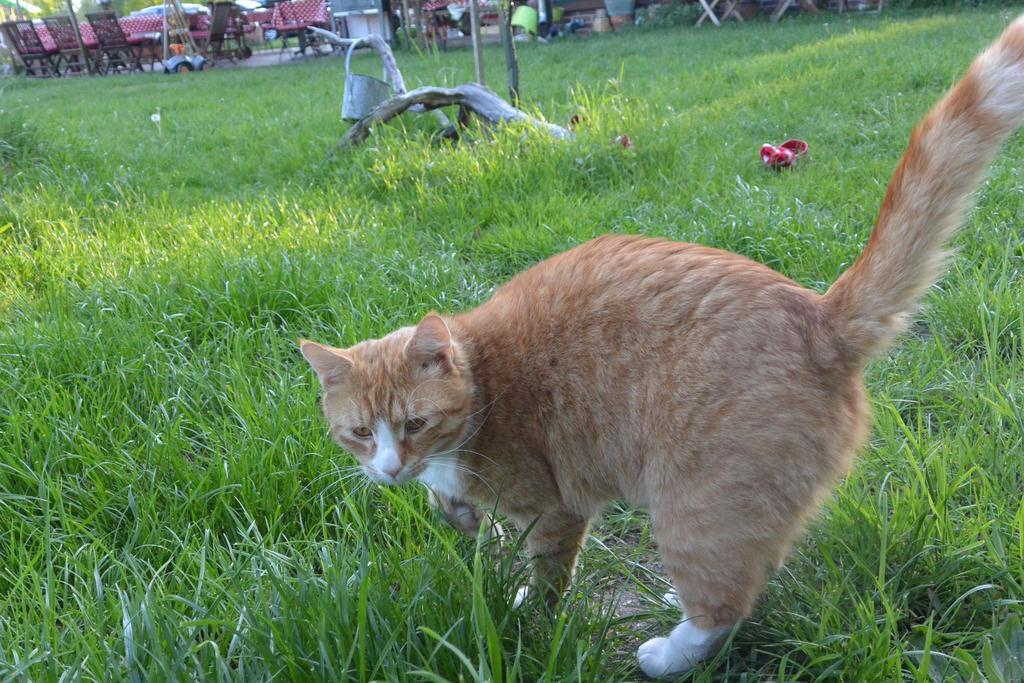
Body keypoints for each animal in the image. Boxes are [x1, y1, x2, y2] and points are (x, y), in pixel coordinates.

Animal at [299, 21, 1024, 679]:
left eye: (415, 423)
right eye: (360, 433)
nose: (390, 468)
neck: (483, 386)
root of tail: (818, 315)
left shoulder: (556, 509)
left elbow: (547, 575)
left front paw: (528, 612)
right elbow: (461, 514)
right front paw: (456, 514)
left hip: (695, 501)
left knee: (724, 602)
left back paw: (670, 652)